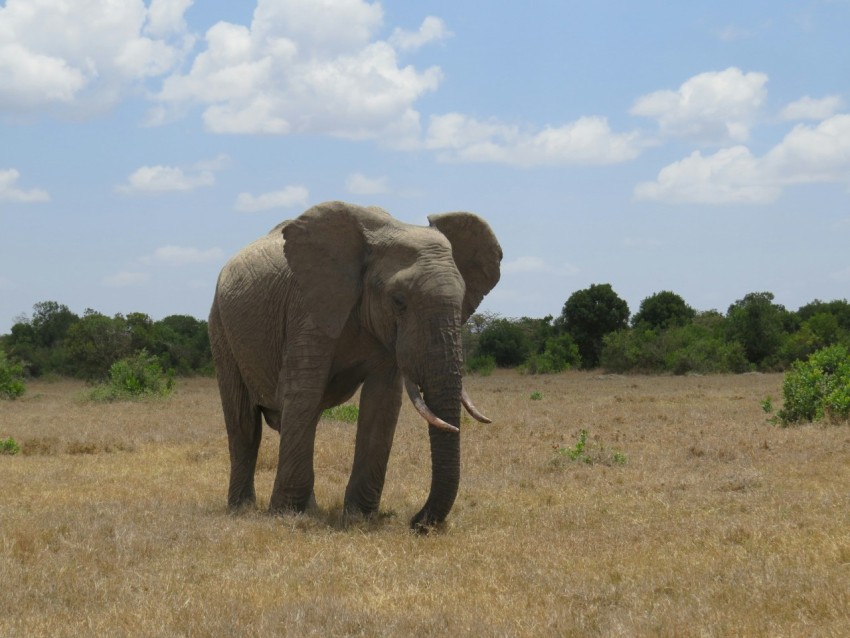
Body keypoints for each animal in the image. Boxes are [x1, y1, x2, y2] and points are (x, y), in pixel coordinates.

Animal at [211, 202, 500, 532]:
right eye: (398, 301)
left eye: (463, 299)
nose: (416, 522)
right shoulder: (307, 307)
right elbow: (303, 392)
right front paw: (285, 513)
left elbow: (382, 402)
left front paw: (358, 515)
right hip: (220, 324)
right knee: (245, 422)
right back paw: (243, 508)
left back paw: (309, 508)